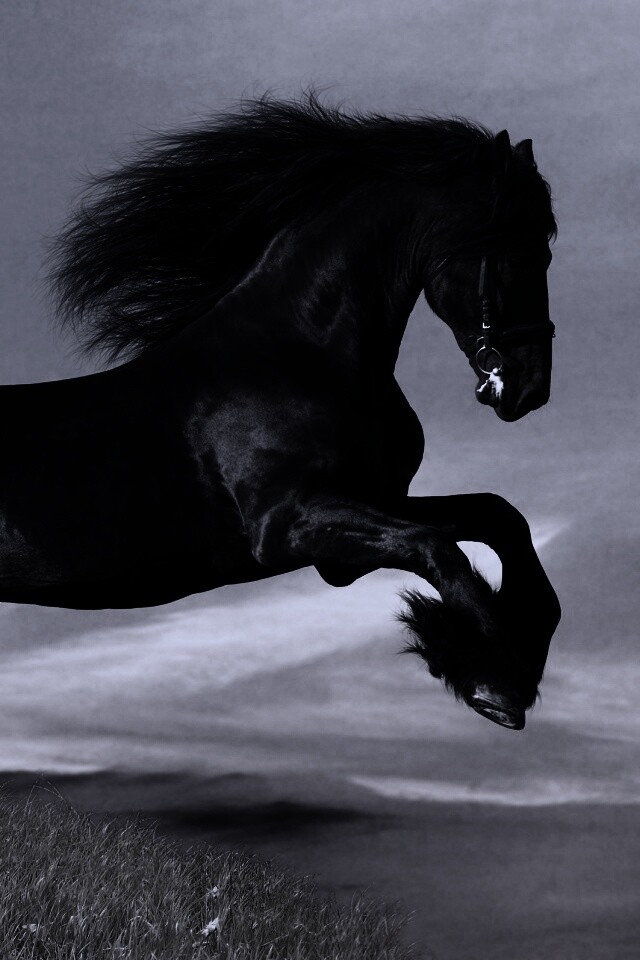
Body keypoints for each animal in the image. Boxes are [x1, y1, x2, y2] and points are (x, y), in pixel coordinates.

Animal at [2, 95, 560, 731]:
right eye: (518, 248)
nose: (528, 387)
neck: (299, 353)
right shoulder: (288, 525)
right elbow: (439, 549)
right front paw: (496, 681)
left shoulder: (372, 504)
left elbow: (497, 517)